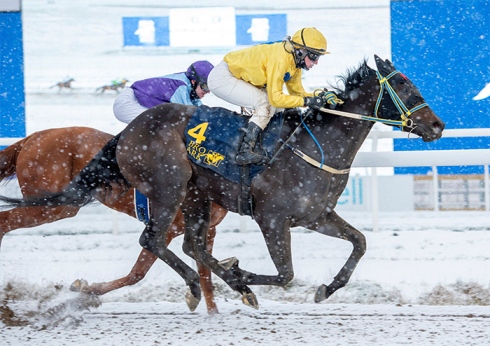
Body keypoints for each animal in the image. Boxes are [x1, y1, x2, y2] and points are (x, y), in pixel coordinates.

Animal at [0, 126, 226, 314]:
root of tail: (32, 137)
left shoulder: (208, 229)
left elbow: (206, 274)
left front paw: (214, 313)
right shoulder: (168, 229)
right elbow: (138, 273)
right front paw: (87, 289)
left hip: (61, 206)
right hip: (48, 205)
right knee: (4, 221)